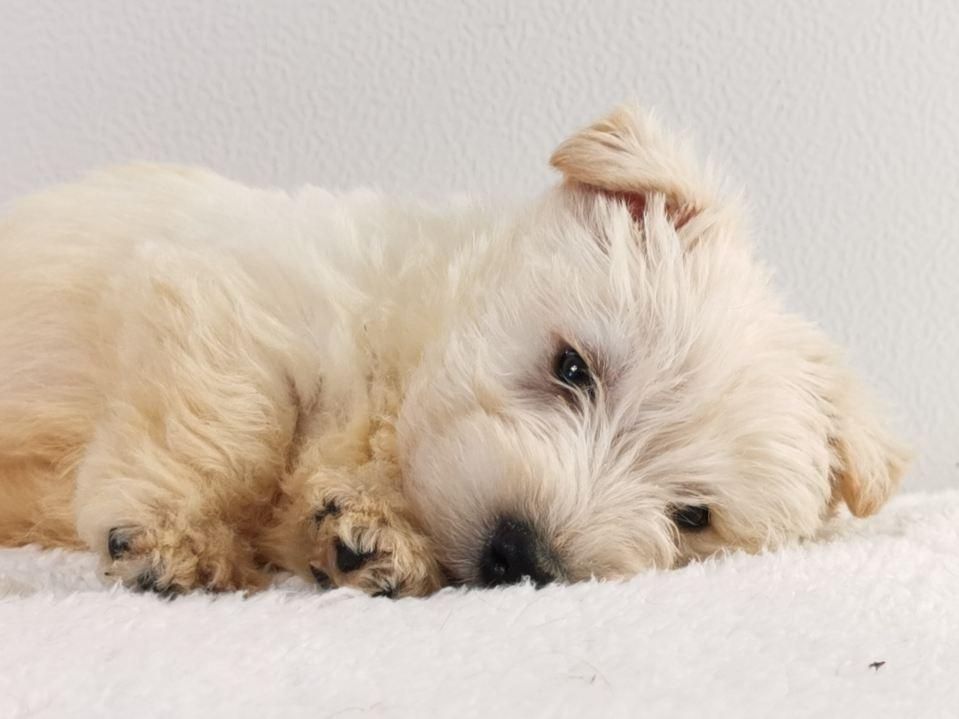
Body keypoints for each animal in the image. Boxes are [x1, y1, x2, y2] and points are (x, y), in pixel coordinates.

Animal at [0, 106, 909, 597]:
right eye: (571, 367)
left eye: (693, 516)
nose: (522, 555)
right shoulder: (227, 291)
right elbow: (232, 421)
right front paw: (175, 535)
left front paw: (369, 537)